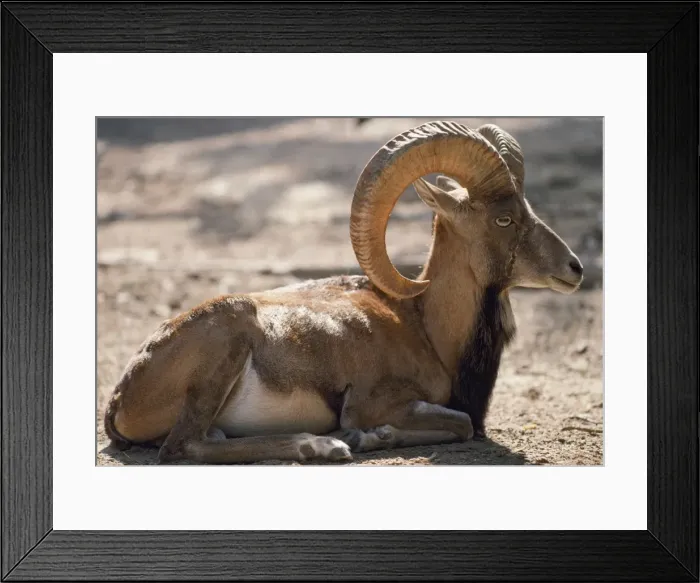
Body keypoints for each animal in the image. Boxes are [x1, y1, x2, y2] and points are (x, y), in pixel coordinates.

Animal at [103, 120, 584, 464]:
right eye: (504, 219)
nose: (575, 269)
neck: (425, 328)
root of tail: (123, 394)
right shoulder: (376, 401)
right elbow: (462, 423)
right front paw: (365, 436)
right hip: (225, 344)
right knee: (183, 447)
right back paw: (320, 446)